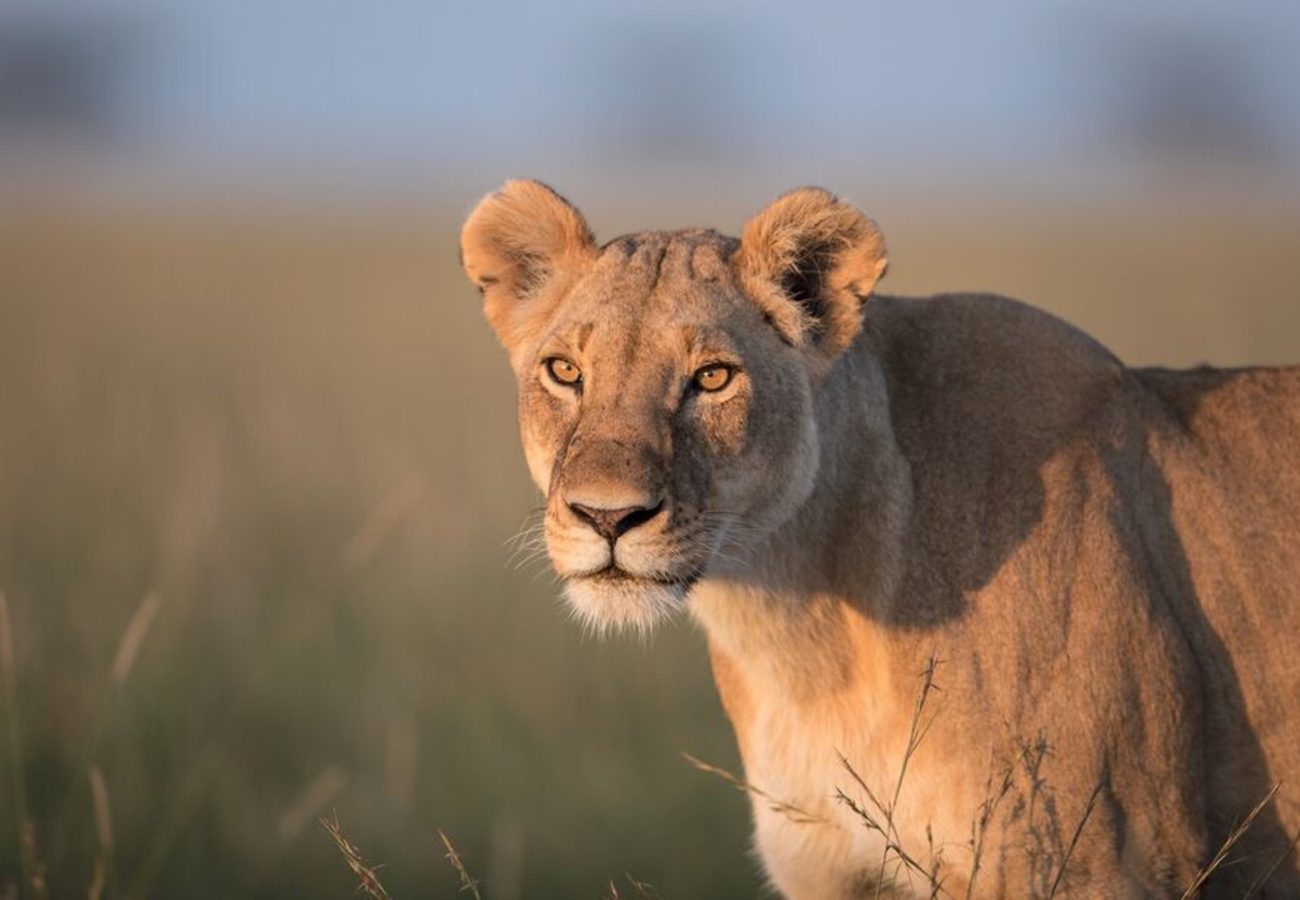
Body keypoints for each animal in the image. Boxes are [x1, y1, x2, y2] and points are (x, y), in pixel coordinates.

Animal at [459, 179, 1300, 898]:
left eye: (713, 378)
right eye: (565, 371)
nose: (606, 517)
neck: (801, 636)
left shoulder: (1097, 861)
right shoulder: (832, 870)